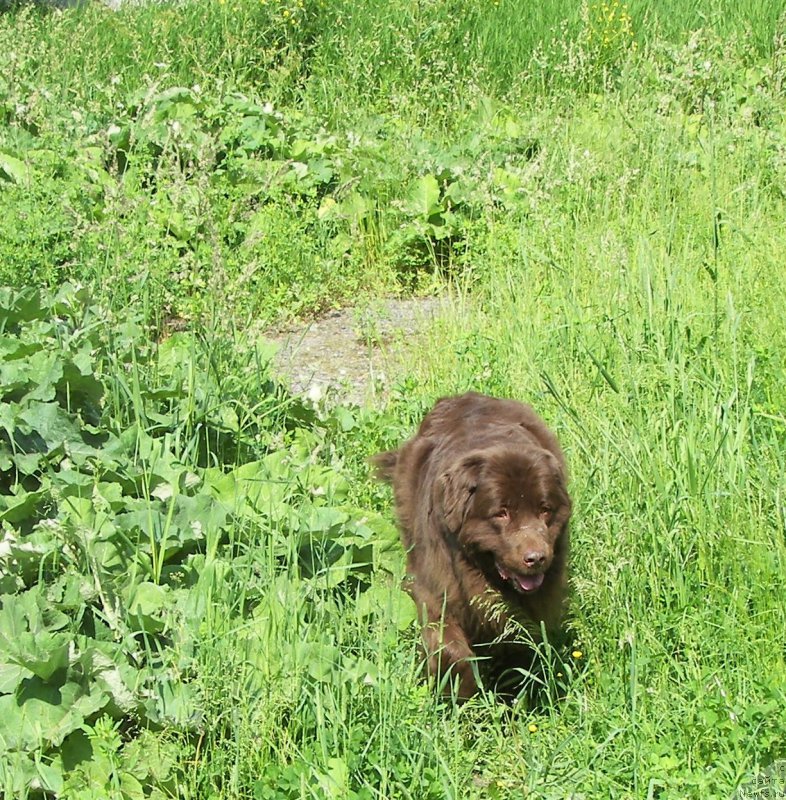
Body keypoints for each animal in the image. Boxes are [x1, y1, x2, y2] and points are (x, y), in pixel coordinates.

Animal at [374, 394, 568, 700]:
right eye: (501, 513)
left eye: (545, 510)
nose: (536, 558)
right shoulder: (436, 585)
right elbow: (450, 649)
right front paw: (461, 695)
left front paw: (513, 695)